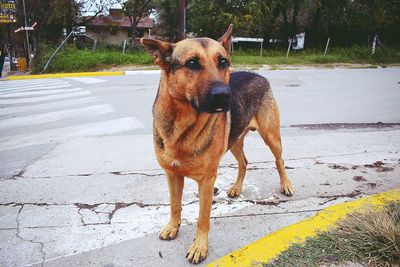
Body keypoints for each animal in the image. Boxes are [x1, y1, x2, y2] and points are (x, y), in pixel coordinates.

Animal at [141, 25, 294, 266]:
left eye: (223, 62)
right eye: (192, 63)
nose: (224, 96)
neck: (182, 126)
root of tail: (259, 75)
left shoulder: (206, 181)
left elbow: (203, 219)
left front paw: (199, 247)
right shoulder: (172, 175)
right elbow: (175, 205)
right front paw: (173, 227)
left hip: (271, 136)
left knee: (279, 160)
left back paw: (285, 185)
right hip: (234, 142)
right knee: (244, 162)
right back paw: (236, 188)